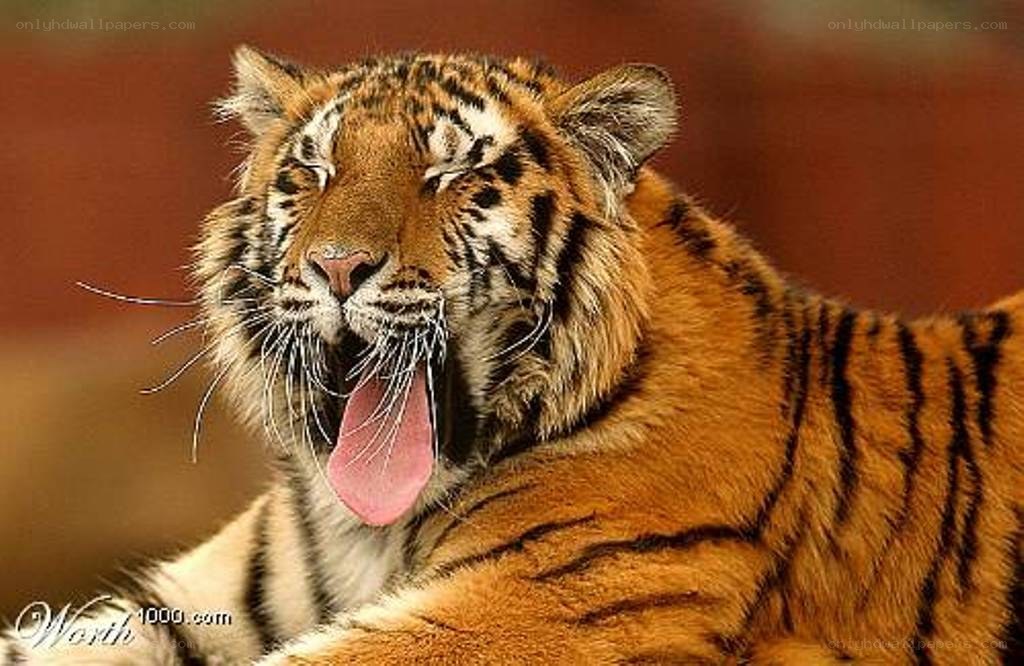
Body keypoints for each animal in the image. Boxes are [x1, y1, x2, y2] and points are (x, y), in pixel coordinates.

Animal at [2, 45, 1021, 665]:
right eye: (313, 170)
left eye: (451, 172)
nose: (337, 268)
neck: (374, 528)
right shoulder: (196, 605)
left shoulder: (533, 606)